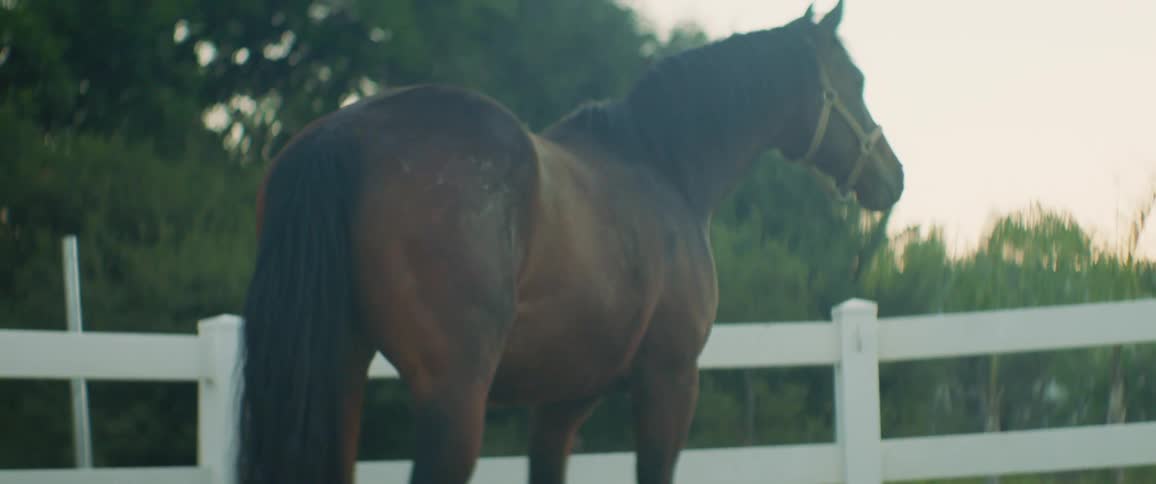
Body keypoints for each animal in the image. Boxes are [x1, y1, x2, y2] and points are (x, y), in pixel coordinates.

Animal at [237, 1, 903, 483]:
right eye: (855, 79)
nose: (893, 176)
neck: (665, 168)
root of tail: (345, 134)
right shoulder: (669, 379)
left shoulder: (562, 402)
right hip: (453, 403)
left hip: (340, 377)